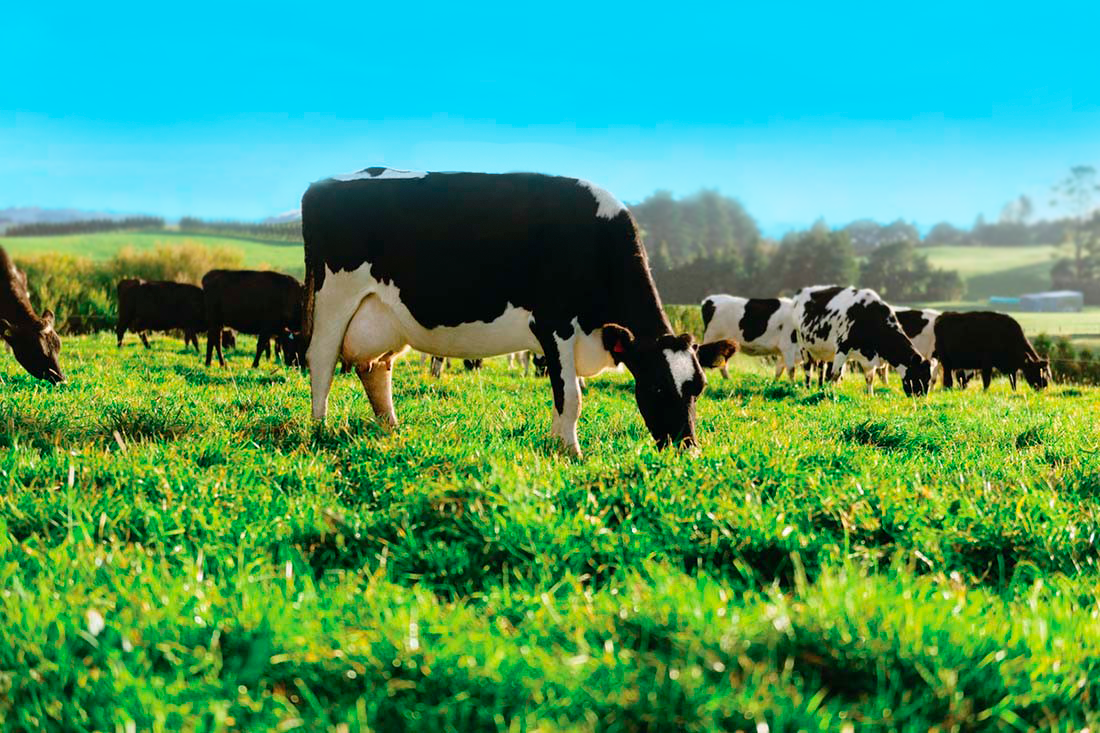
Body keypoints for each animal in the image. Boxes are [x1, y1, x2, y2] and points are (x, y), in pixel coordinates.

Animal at [300, 168, 736, 456]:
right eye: (656, 387)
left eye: (698, 388)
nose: (687, 450)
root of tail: (324, 183)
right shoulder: (554, 324)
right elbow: (571, 396)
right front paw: (571, 452)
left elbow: (565, 395)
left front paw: (558, 445)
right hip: (334, 297)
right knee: (320, 360)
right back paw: (319, 429)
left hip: (383, 315)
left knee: (375, 368)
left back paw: (391, 429)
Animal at [794, 285, 932, 396]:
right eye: (919, 374)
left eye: (929, 378)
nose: (921, 396)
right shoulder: (842, 348)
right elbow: (835, 375)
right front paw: (831, 395)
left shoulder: (869, 358)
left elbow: (869, 378)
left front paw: (870, 396)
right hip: (802, 345)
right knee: (808, 369)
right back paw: (808, 389)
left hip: (822, 350)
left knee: (821, 368)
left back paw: (820, 387)